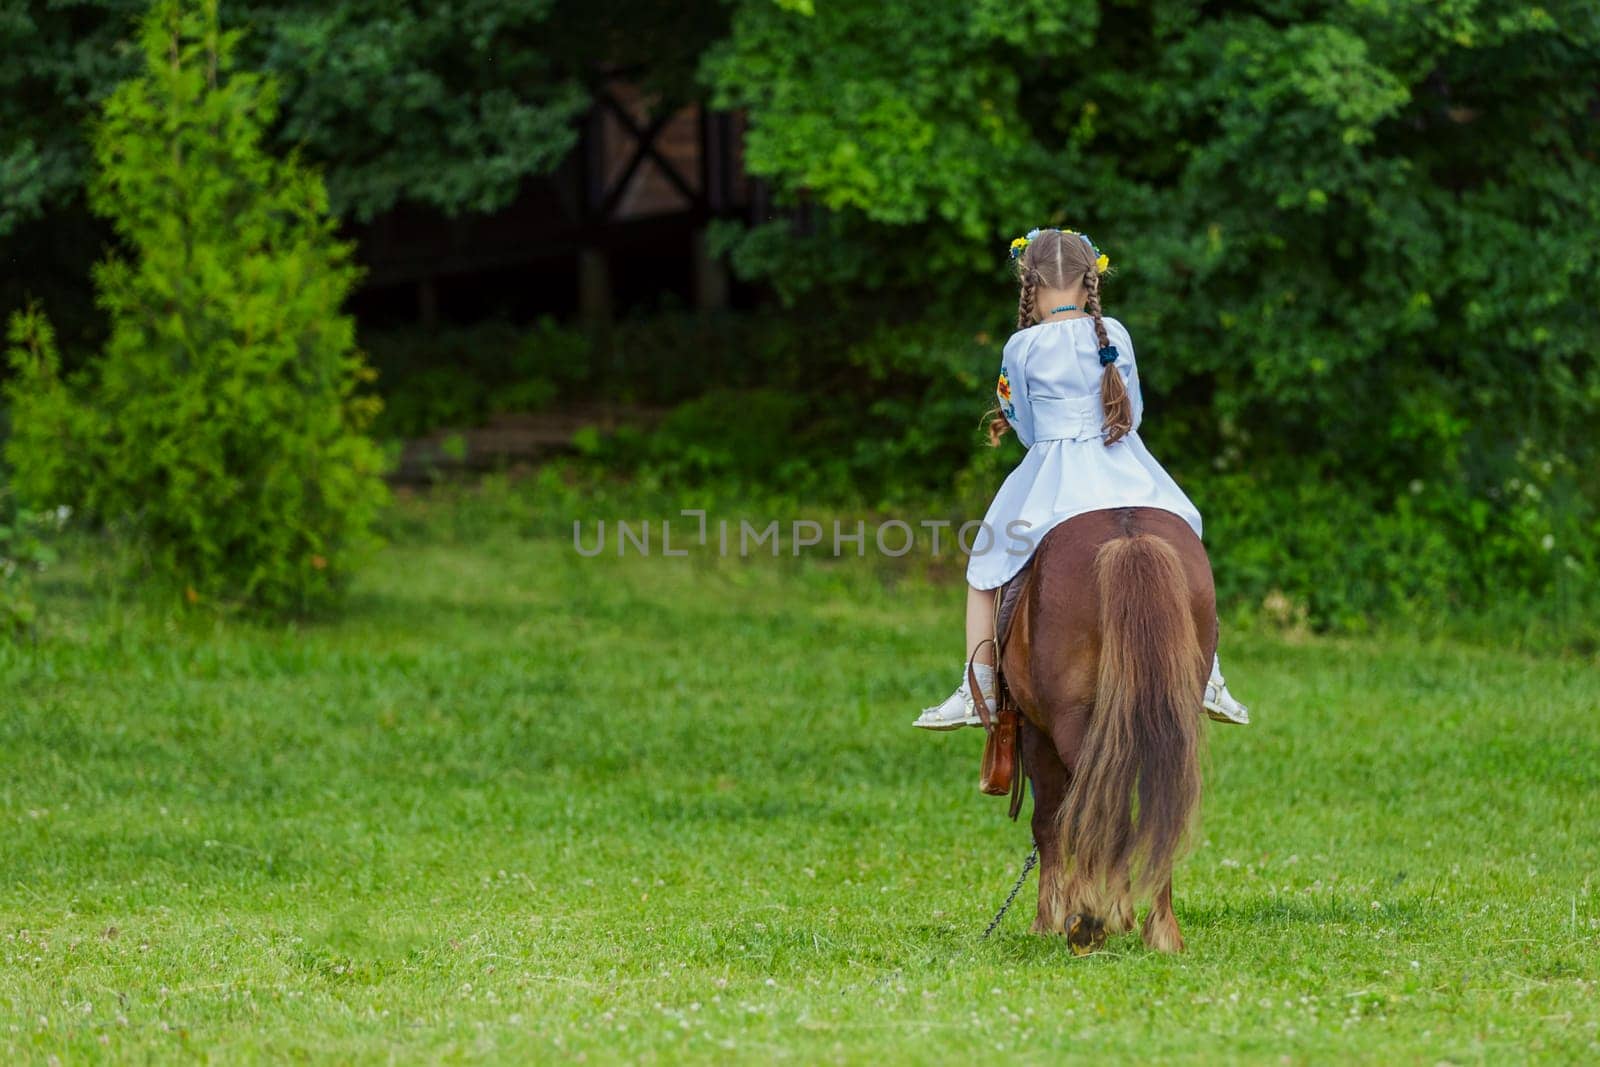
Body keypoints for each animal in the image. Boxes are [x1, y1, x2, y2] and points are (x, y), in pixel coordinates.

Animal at [998, 505, 1209, 953]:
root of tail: (1130, 540)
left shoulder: (1036, 732)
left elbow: (1049, 822)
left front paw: (1047, 919)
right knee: (1160, 811)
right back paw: (1159, 930)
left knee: (1095, 815)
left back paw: (1088, 919)